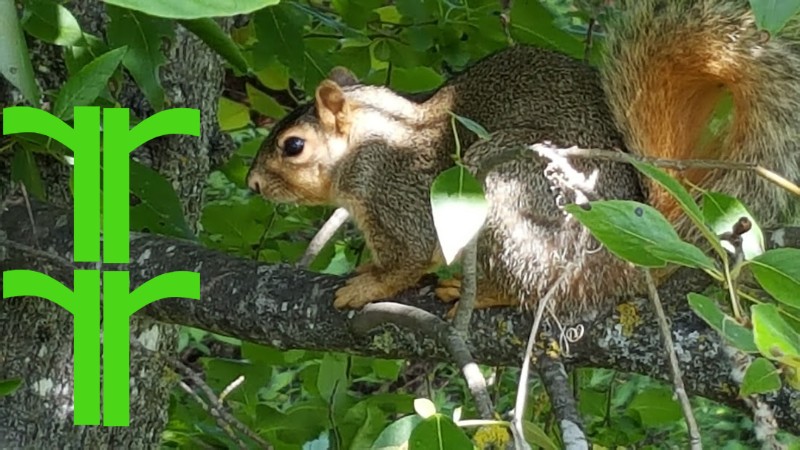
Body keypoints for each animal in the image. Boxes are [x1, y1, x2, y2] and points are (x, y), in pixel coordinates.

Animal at [247, 0, 800, 318]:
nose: (252, 185)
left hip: (502, 179)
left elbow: (408, 258)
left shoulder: (392, 191)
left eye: (293, 146)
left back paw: (482, 292)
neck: (373, 141)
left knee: (531, 288)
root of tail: (623, 264)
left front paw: (365, 286)